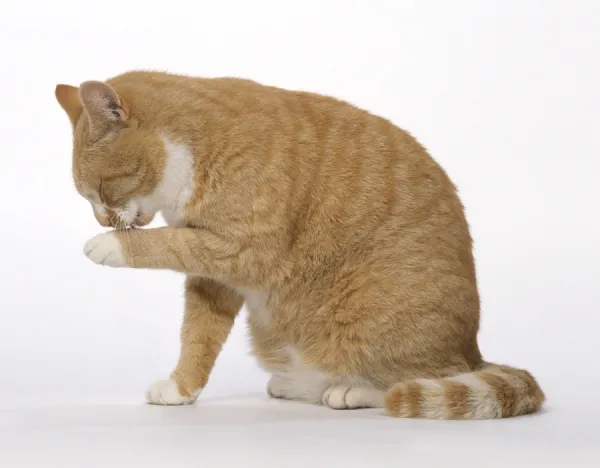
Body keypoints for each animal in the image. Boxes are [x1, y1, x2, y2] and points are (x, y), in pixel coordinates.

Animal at [55, 71, 544, 418]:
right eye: (89, 197)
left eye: (102, 190)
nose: (102, 220)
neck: (193, 149)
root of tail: (473, 351)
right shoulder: (214, 278)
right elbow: (197, 336)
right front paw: (181, 388)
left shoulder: (244, 252)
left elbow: (163, 243)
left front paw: (108, 245)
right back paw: (296, 384)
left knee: (417, 381)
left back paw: (351, 391)